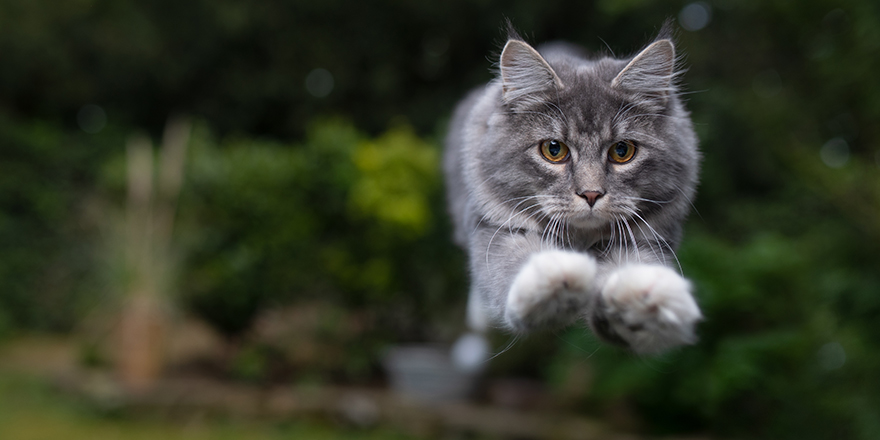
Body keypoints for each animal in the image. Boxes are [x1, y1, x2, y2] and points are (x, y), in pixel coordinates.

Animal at [444, 24, 704, 354]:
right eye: (553, 150)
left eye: (622, 151)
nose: (591, 194)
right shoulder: (495, 228)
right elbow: (514, 261)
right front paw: (555, 279)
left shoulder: (645, 241)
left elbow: (634, 270)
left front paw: (647, 300)